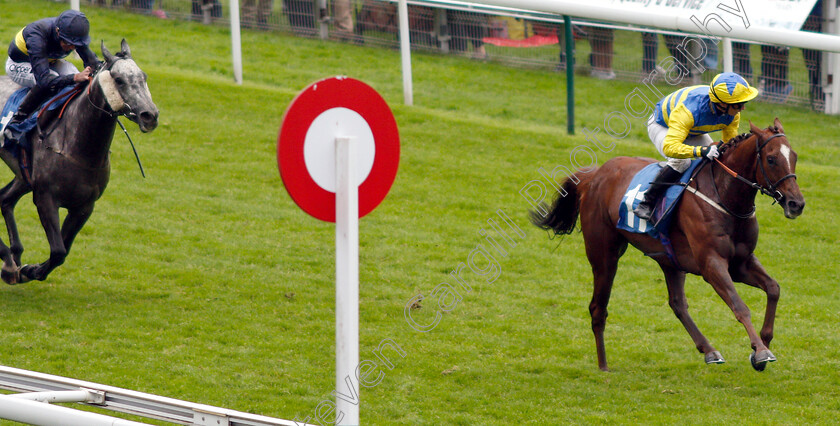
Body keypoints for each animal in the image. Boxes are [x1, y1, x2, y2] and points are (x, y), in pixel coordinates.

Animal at [536, 118, 804, 372]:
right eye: (771, 159)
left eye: (794, 156)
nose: (796, 204)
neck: (724, 196)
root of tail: (595, 175)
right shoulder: (712, 264)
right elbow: (740, 306)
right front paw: (761, 351)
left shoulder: (741, 262)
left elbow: (773, 288)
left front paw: (762, 345)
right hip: (604, 254)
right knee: (597, 308)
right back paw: (603, 365)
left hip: (670, 259)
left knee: (677, 304)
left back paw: (709, 351)